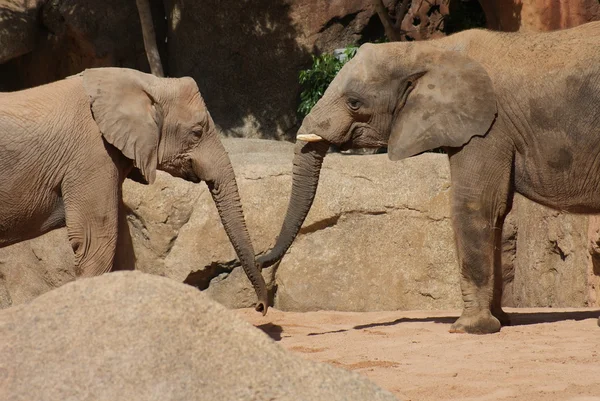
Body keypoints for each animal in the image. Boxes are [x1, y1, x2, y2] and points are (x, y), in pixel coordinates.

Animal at [0, 68, 268, 312]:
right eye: (197, 132)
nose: (260, 307)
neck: (145, 82)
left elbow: (121, 246)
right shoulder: (93, 155)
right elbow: (96, 240)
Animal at [258, 21, 600, 332]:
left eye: (354, 102)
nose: (262, 304)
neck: (429, 50)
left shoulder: (489, 126)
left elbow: (476, 203)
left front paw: (470, 328)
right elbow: (498, 210)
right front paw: (500, 321)